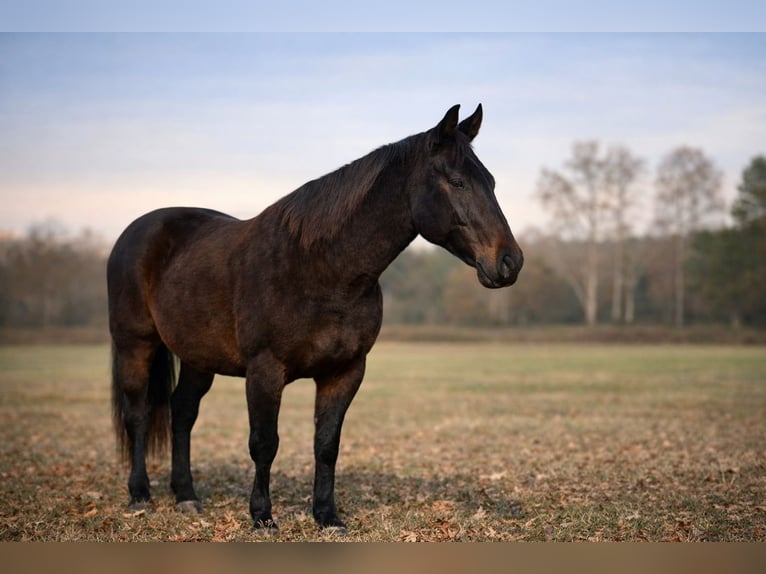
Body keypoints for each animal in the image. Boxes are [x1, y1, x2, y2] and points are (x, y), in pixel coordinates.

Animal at [107, 104, 524, 533]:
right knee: (139, 414)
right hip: (134, 345)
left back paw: (186, 496)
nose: (510, 262)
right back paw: (140, 496)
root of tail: (138, 230)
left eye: (491, 182)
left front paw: (327, 516)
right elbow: (264, 443)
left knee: (182, 412)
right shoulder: (265, 371)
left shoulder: (344, 372)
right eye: (457, 182)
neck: (321, 269)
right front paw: (262, 516)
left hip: (197, 358)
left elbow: (326, 445)